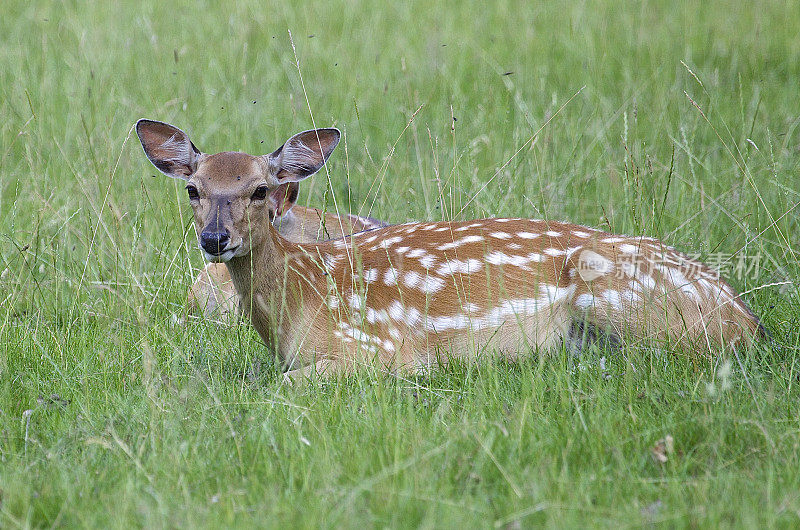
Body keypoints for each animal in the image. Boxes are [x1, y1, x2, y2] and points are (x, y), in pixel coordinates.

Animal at [136, 118, 764, 380]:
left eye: (259, 189)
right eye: (194, 188)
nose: (215, 238)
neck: (301, 298)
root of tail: (748, 318)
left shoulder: (379, 347)